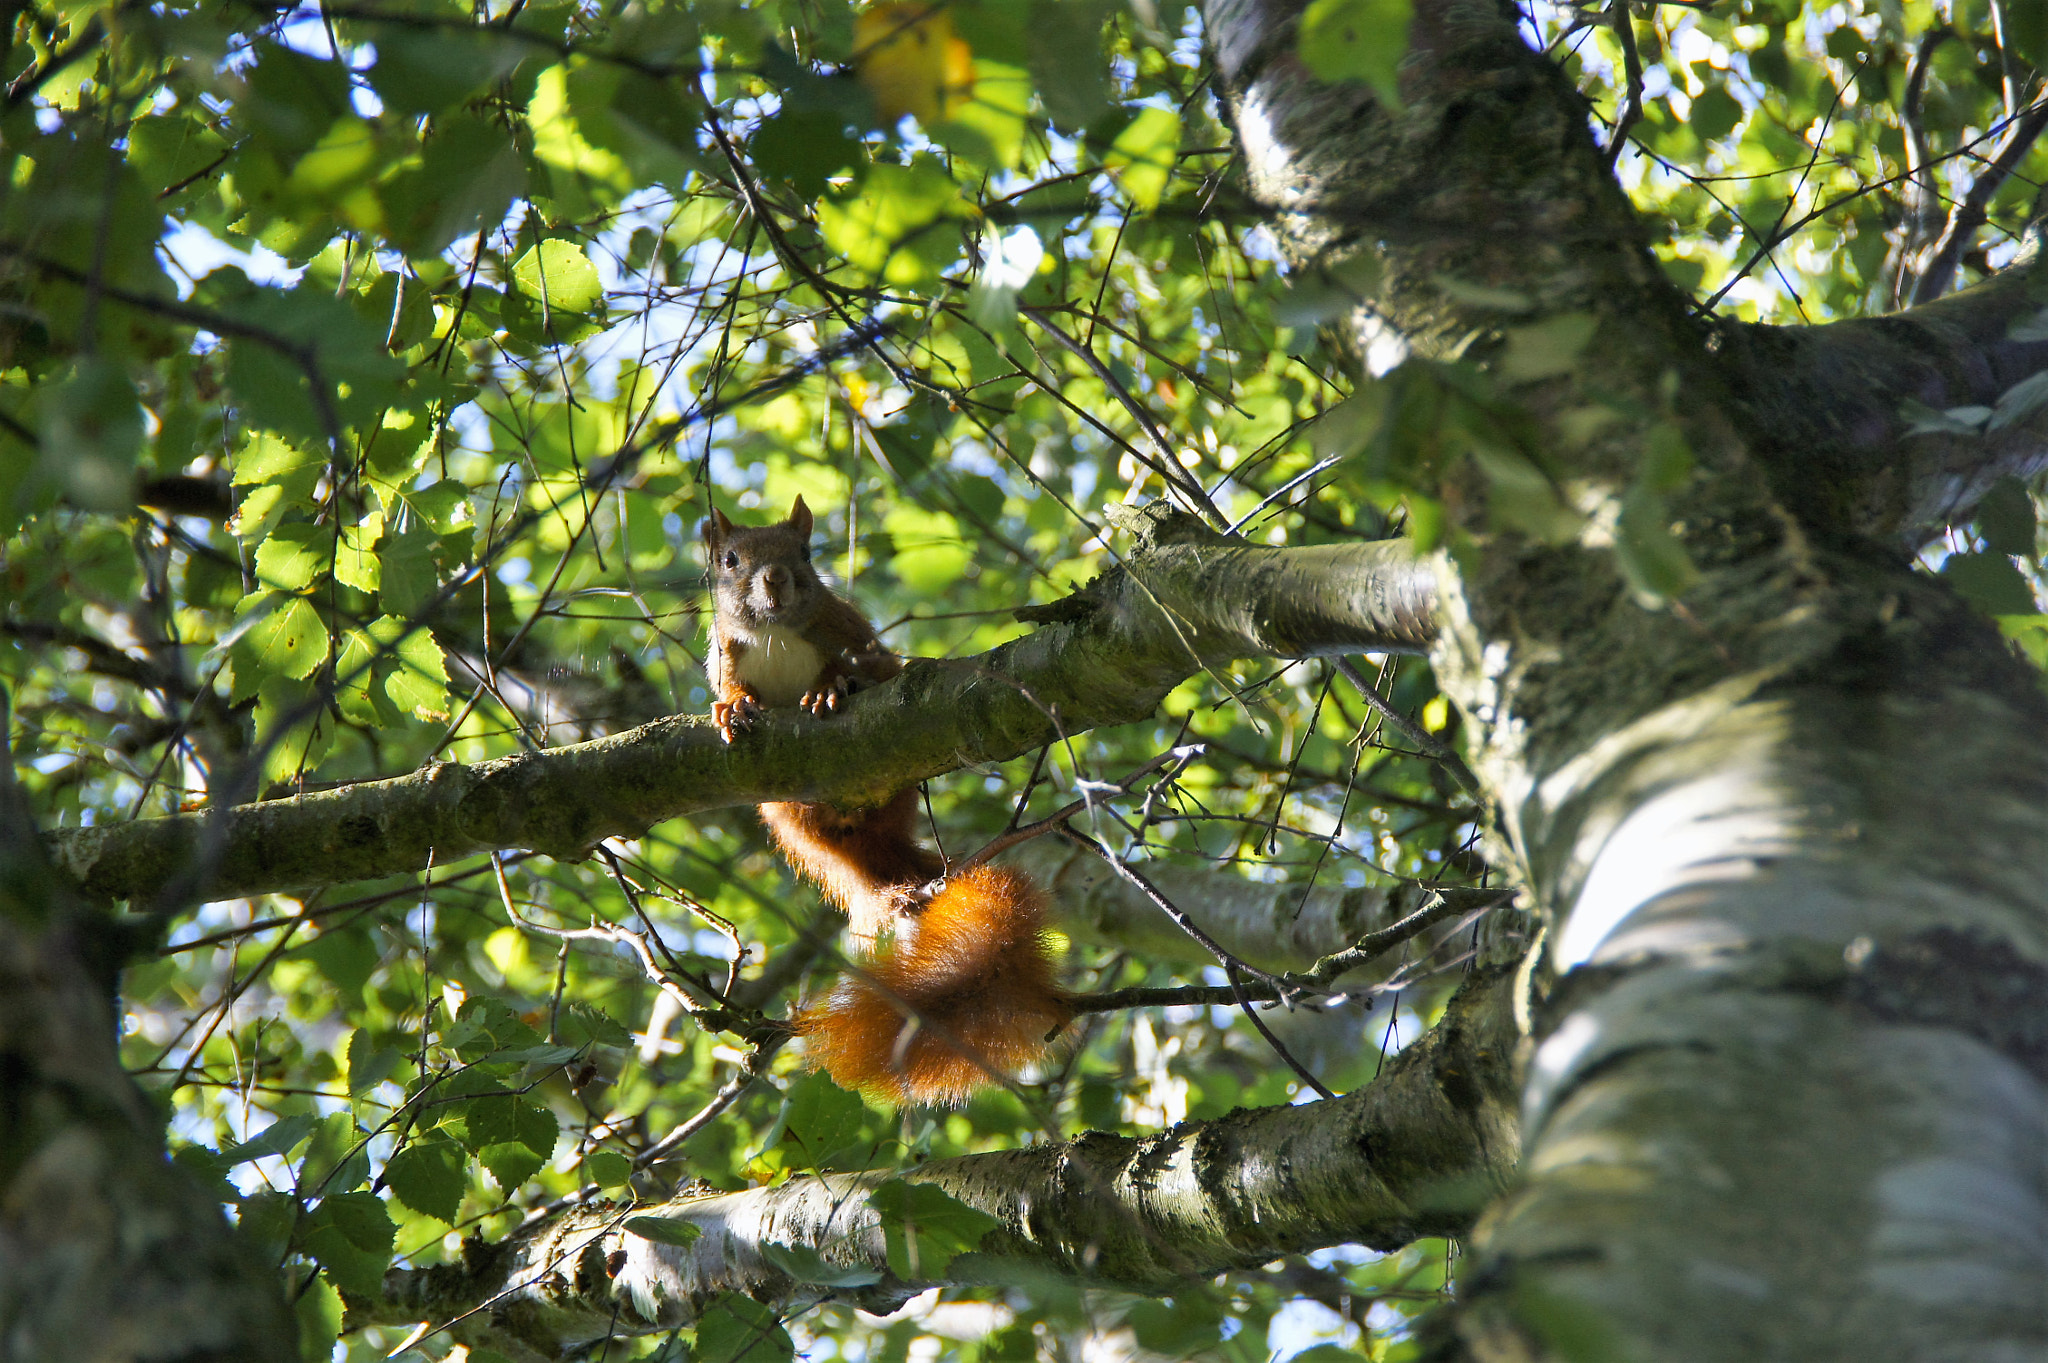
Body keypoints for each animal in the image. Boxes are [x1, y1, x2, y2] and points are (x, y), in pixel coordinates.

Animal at [704, 496, 1070, 1105]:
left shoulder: (853, 634)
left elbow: (876, 669)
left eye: (805, 552)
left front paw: (830, 687)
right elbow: (730, 688)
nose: (775, 578)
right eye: (728, 560)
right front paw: (731, 708)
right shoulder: (726, 655)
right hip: (782, 808)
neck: (777, 635)